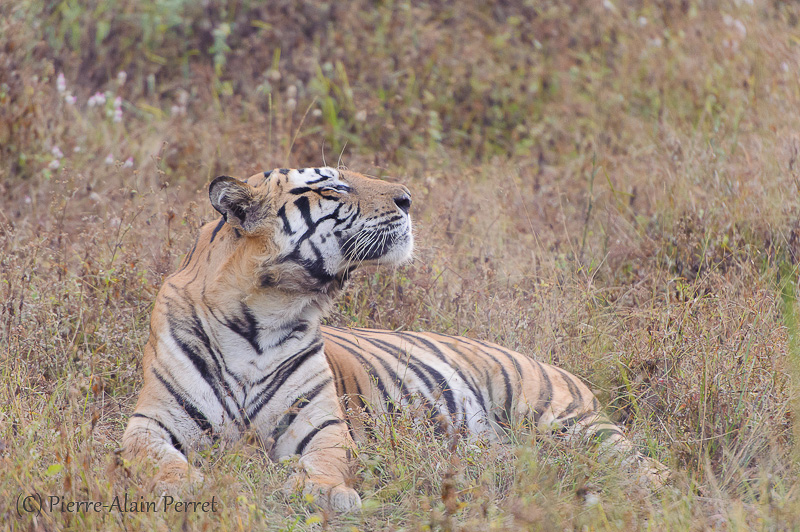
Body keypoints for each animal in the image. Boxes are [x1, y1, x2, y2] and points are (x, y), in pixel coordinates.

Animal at [120, 165, 668, 512]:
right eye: (333, 186)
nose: (408, 198)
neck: (262, 319)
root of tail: (555, 365)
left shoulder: (323, 426)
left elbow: (326, 462)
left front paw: (325, 493)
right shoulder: (151, 421)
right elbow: (156, 460)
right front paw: (186, 489)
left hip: (567, 422)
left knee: (648, 468)